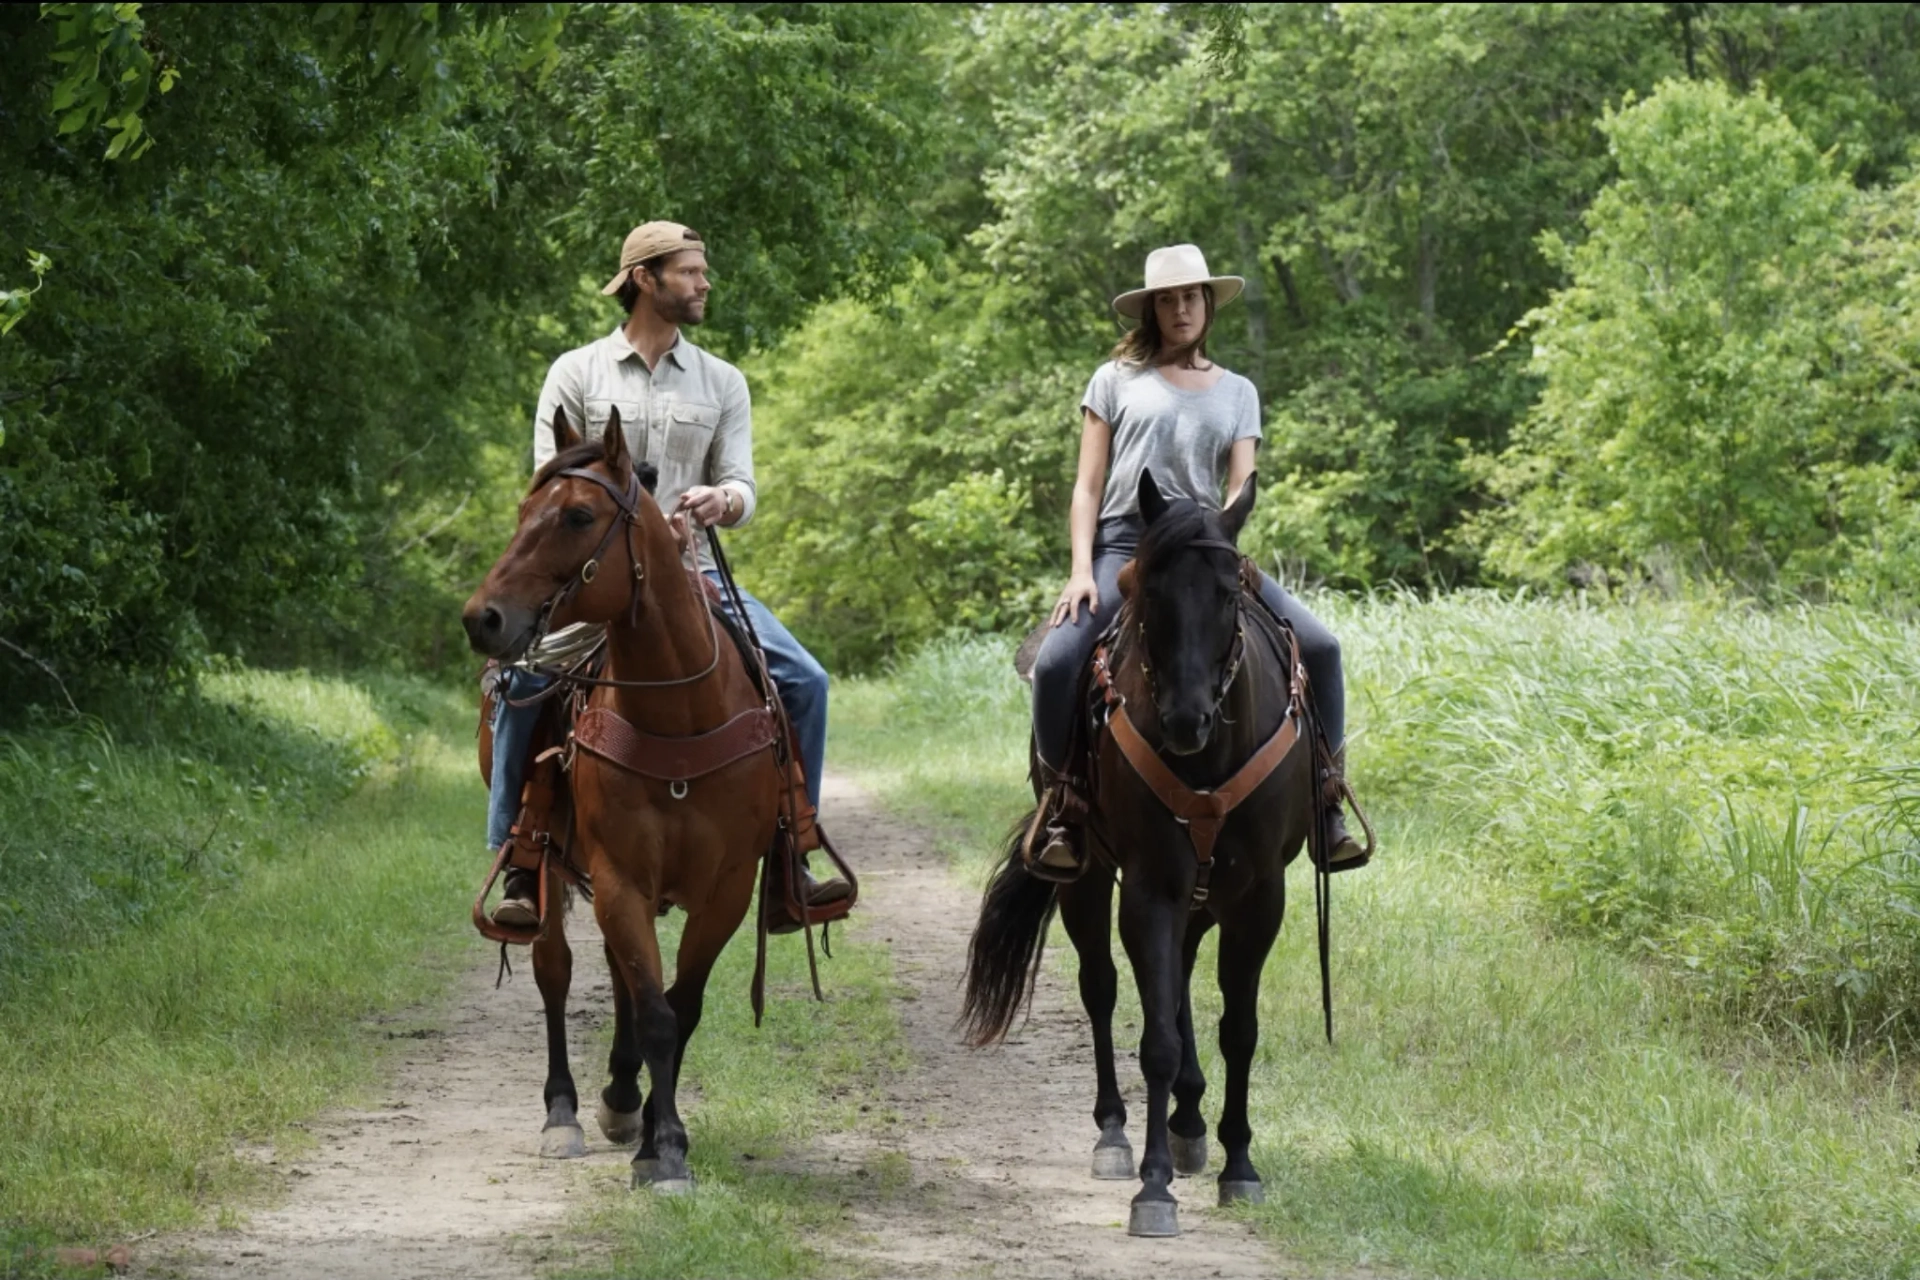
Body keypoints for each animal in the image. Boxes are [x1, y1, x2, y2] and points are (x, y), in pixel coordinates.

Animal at [460, 408, 783, 1189]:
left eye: (578, 515)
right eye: (523, 511)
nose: (482, 619)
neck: (680, 717)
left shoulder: (727, 890)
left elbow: (677, 1008)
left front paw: (657, 1130)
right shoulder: (619, 879)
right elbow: (655, 1011)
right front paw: (662, 1150)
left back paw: (620, 1096)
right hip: (552, 867)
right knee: (555, 974)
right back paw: (565, 1114)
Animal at [960, 474, 1320, 1243]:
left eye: (1229, 592)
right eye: (1149, 593)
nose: (1185, 721)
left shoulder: (1260, 897)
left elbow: (1239, 1030)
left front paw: (1240, 1166)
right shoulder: (1150, 887)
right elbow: (1154, 1036)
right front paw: (1154, 1187)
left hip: (1203, 897)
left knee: (1180, 979)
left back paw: (1190, 1122)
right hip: (1088, 880)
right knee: (1101, 989)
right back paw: (1117, 1133)